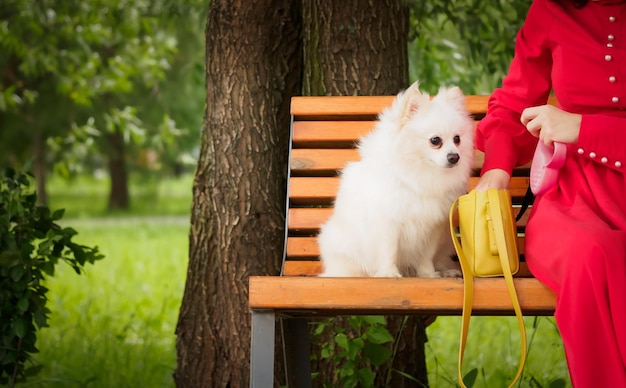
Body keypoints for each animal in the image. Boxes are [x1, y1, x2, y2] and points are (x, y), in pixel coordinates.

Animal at [316, 80, 472, 278]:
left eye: (457, 139)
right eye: (435, 140)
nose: (454, 157)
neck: (419, 174)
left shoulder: (432, 227)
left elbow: (426, 255)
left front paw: (428, 274)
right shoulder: (389, 222)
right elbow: (389, 250)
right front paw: (389, 273)